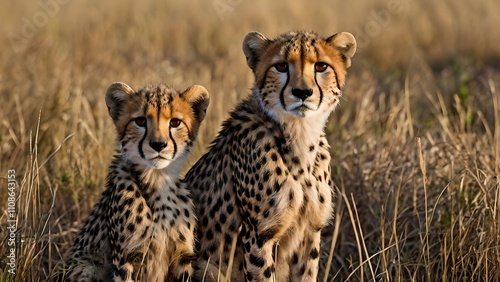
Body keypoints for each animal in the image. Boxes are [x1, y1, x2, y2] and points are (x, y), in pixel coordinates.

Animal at [62, 82, 209, 280]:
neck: (157, 179)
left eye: (175, 122)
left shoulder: (183, 258)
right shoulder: (126, 259)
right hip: (85, 267)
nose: (158, 144)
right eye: (140, 121)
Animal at [187, 29, 356, 280]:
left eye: (321, 66)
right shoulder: (260, 234)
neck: (299, 135)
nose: (302, 92)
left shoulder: (310, 231)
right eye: (282, 66)